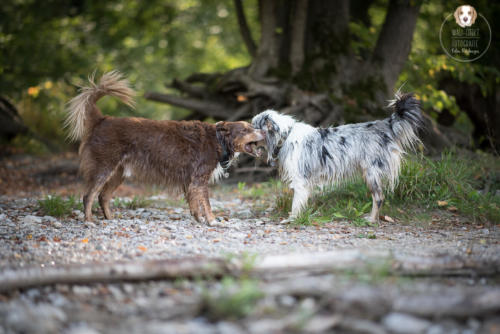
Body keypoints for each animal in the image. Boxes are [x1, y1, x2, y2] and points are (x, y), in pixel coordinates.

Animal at [66, 72, 266, 226]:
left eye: (252, 126)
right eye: (246, 130)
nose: (264, 130)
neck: (218, 139)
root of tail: (102, 120)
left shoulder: (191, 182)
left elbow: (195, 205)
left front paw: (199, 220)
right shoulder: (199, 179)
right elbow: (206, 204)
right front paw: (212, 221)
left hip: (118, 173)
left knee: (103, 197)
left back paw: (110, 219)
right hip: (104, 168)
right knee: (89, 196)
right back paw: (89, 221)